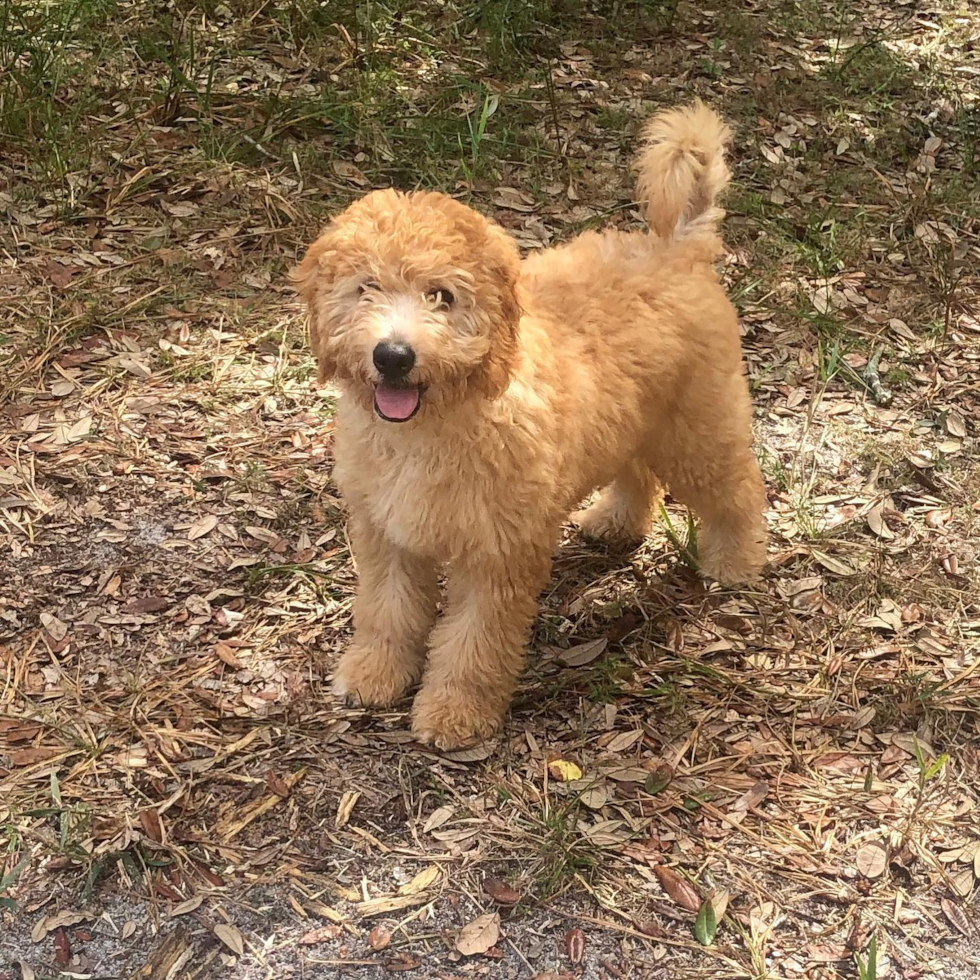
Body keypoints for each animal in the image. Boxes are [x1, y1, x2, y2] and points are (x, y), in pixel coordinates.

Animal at [294, 101, 768, 752]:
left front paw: (455, 712)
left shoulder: (497, 556)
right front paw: (374, 673)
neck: (439, 423)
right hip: (635, 422)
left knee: (737, 489)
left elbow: (474, 643)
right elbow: (387, 612)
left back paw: (736, 562)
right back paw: (615, 521)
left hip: (697, 428)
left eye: (442, 296)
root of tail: (676, 247)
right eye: (366, 287)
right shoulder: (389, 534)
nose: (392, 356)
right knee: (638, 473)